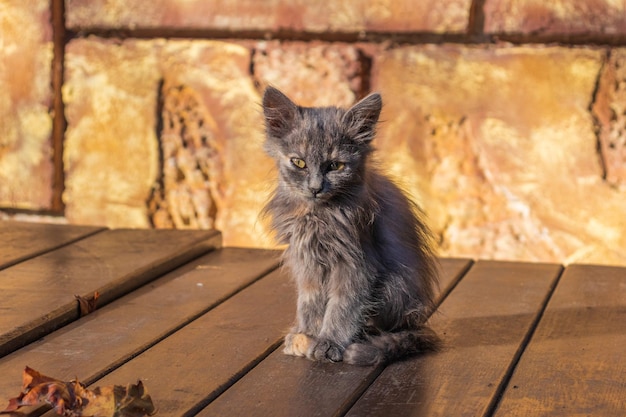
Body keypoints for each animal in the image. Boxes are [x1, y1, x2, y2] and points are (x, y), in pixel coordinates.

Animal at [258, 87, 438, 364]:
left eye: (335, 165)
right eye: (299, 163)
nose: (315, 187)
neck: (318, 215)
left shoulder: (357, 264)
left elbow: (342, 307)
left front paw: (328, 342)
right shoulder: (306, 262)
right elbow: (309, 303)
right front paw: (307, 334)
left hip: (394, 288)